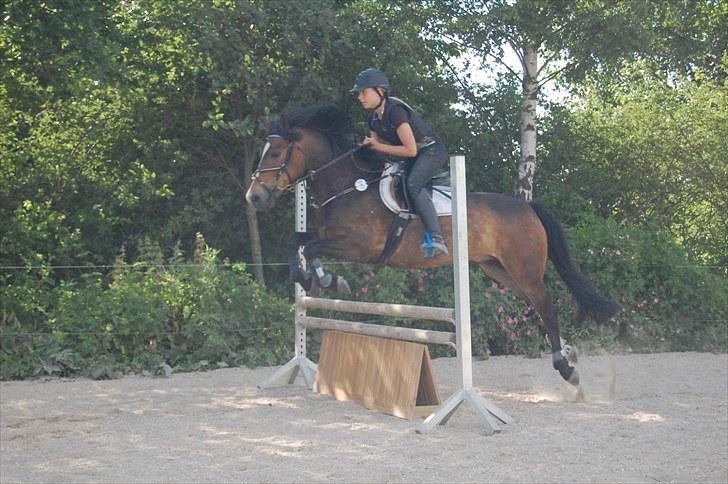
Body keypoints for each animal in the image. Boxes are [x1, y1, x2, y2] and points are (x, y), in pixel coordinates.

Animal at [245, 105, 618, 386]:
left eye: (275, 152)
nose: (254, 197)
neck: (349, 185)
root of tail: (527, 206)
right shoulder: (328, 237)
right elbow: (296, 242)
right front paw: (306, 279)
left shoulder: (358, 246)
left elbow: (311, 250)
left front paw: (327, 280)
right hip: (500, 270)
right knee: (540, 304)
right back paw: (569, 353)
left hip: (523, 269)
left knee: (548, 305)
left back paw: (565, 368)